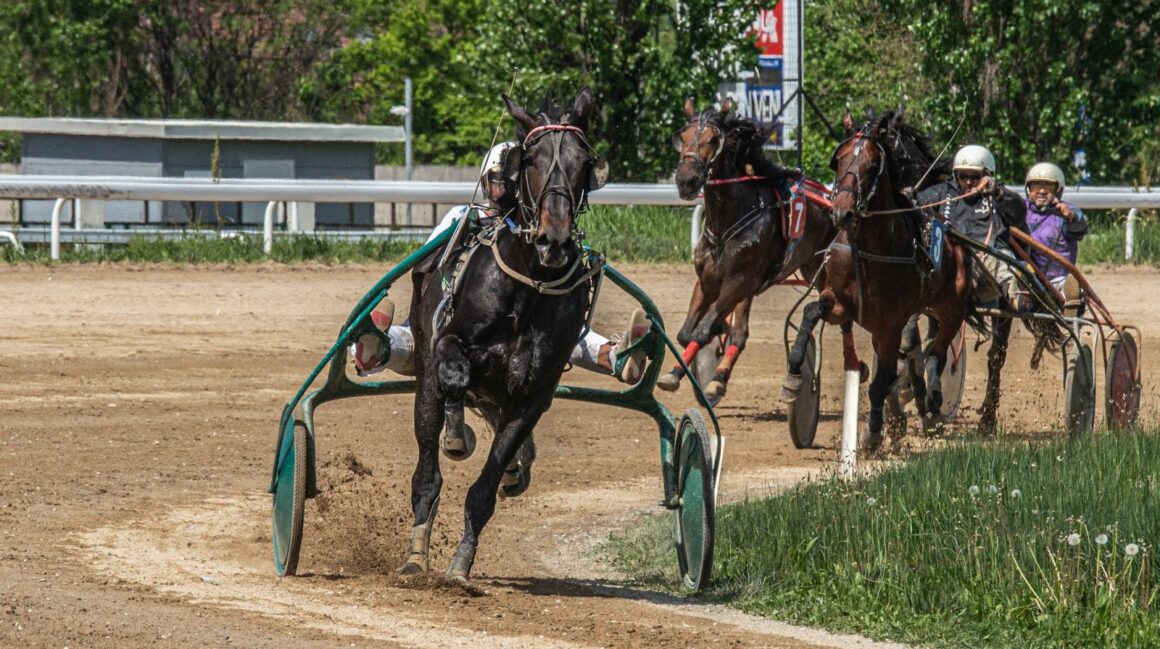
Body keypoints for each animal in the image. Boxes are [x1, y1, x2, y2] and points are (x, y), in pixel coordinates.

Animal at [399, 87, 607, 585]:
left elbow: (486, 487)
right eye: (531, 159)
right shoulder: (447, 342)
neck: (528, 287)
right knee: (429, 458)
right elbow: (454, 373)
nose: (554, 240)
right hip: (424, 376)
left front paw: (460, 566)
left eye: (582, 162)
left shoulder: (533, 394)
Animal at [658, 99, 839, 401]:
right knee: (740, 331)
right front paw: (676, 373)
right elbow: (688, 332)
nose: (686, 180)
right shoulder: (708, 281)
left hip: (825, 273)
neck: (729, 219)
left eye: (713, 139)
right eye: (682, 137)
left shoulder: (738, 280)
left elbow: (704, 329)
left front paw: (714, 367)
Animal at [784, 109, 974, 450]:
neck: (868, 248)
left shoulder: (890, 324)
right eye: (839, 160)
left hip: (952, 310)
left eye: (873, 165)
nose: (842, 213)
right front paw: (794, 376)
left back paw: (932, 405)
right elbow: (810, 312)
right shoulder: (840, 304)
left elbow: (880, 381)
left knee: (936, 356)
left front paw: (873, 433)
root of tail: (956, 241)